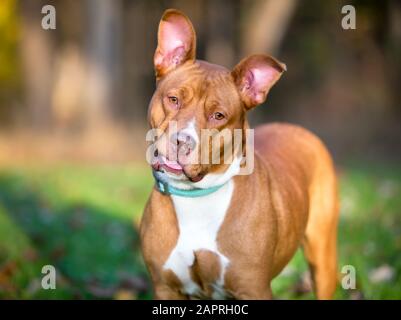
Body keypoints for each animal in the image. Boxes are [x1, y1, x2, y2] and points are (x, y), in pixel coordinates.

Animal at [141, 9, 338, 300]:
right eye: (173, 99)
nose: (182, 141)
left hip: (322, 255)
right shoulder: (165, 288)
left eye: (218, 115)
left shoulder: (253, 288)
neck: (196, 197)